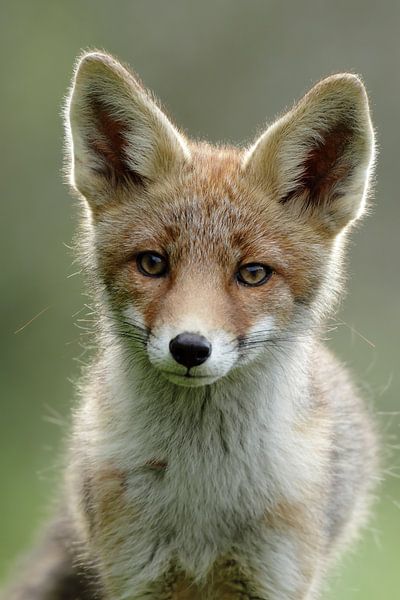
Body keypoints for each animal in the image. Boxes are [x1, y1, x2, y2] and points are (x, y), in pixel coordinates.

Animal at [3, 52, 378, 600]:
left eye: (253, 273)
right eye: (153, 263)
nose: (189, 348)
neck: (202, 491)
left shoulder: (276, 576)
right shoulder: (137, 574)